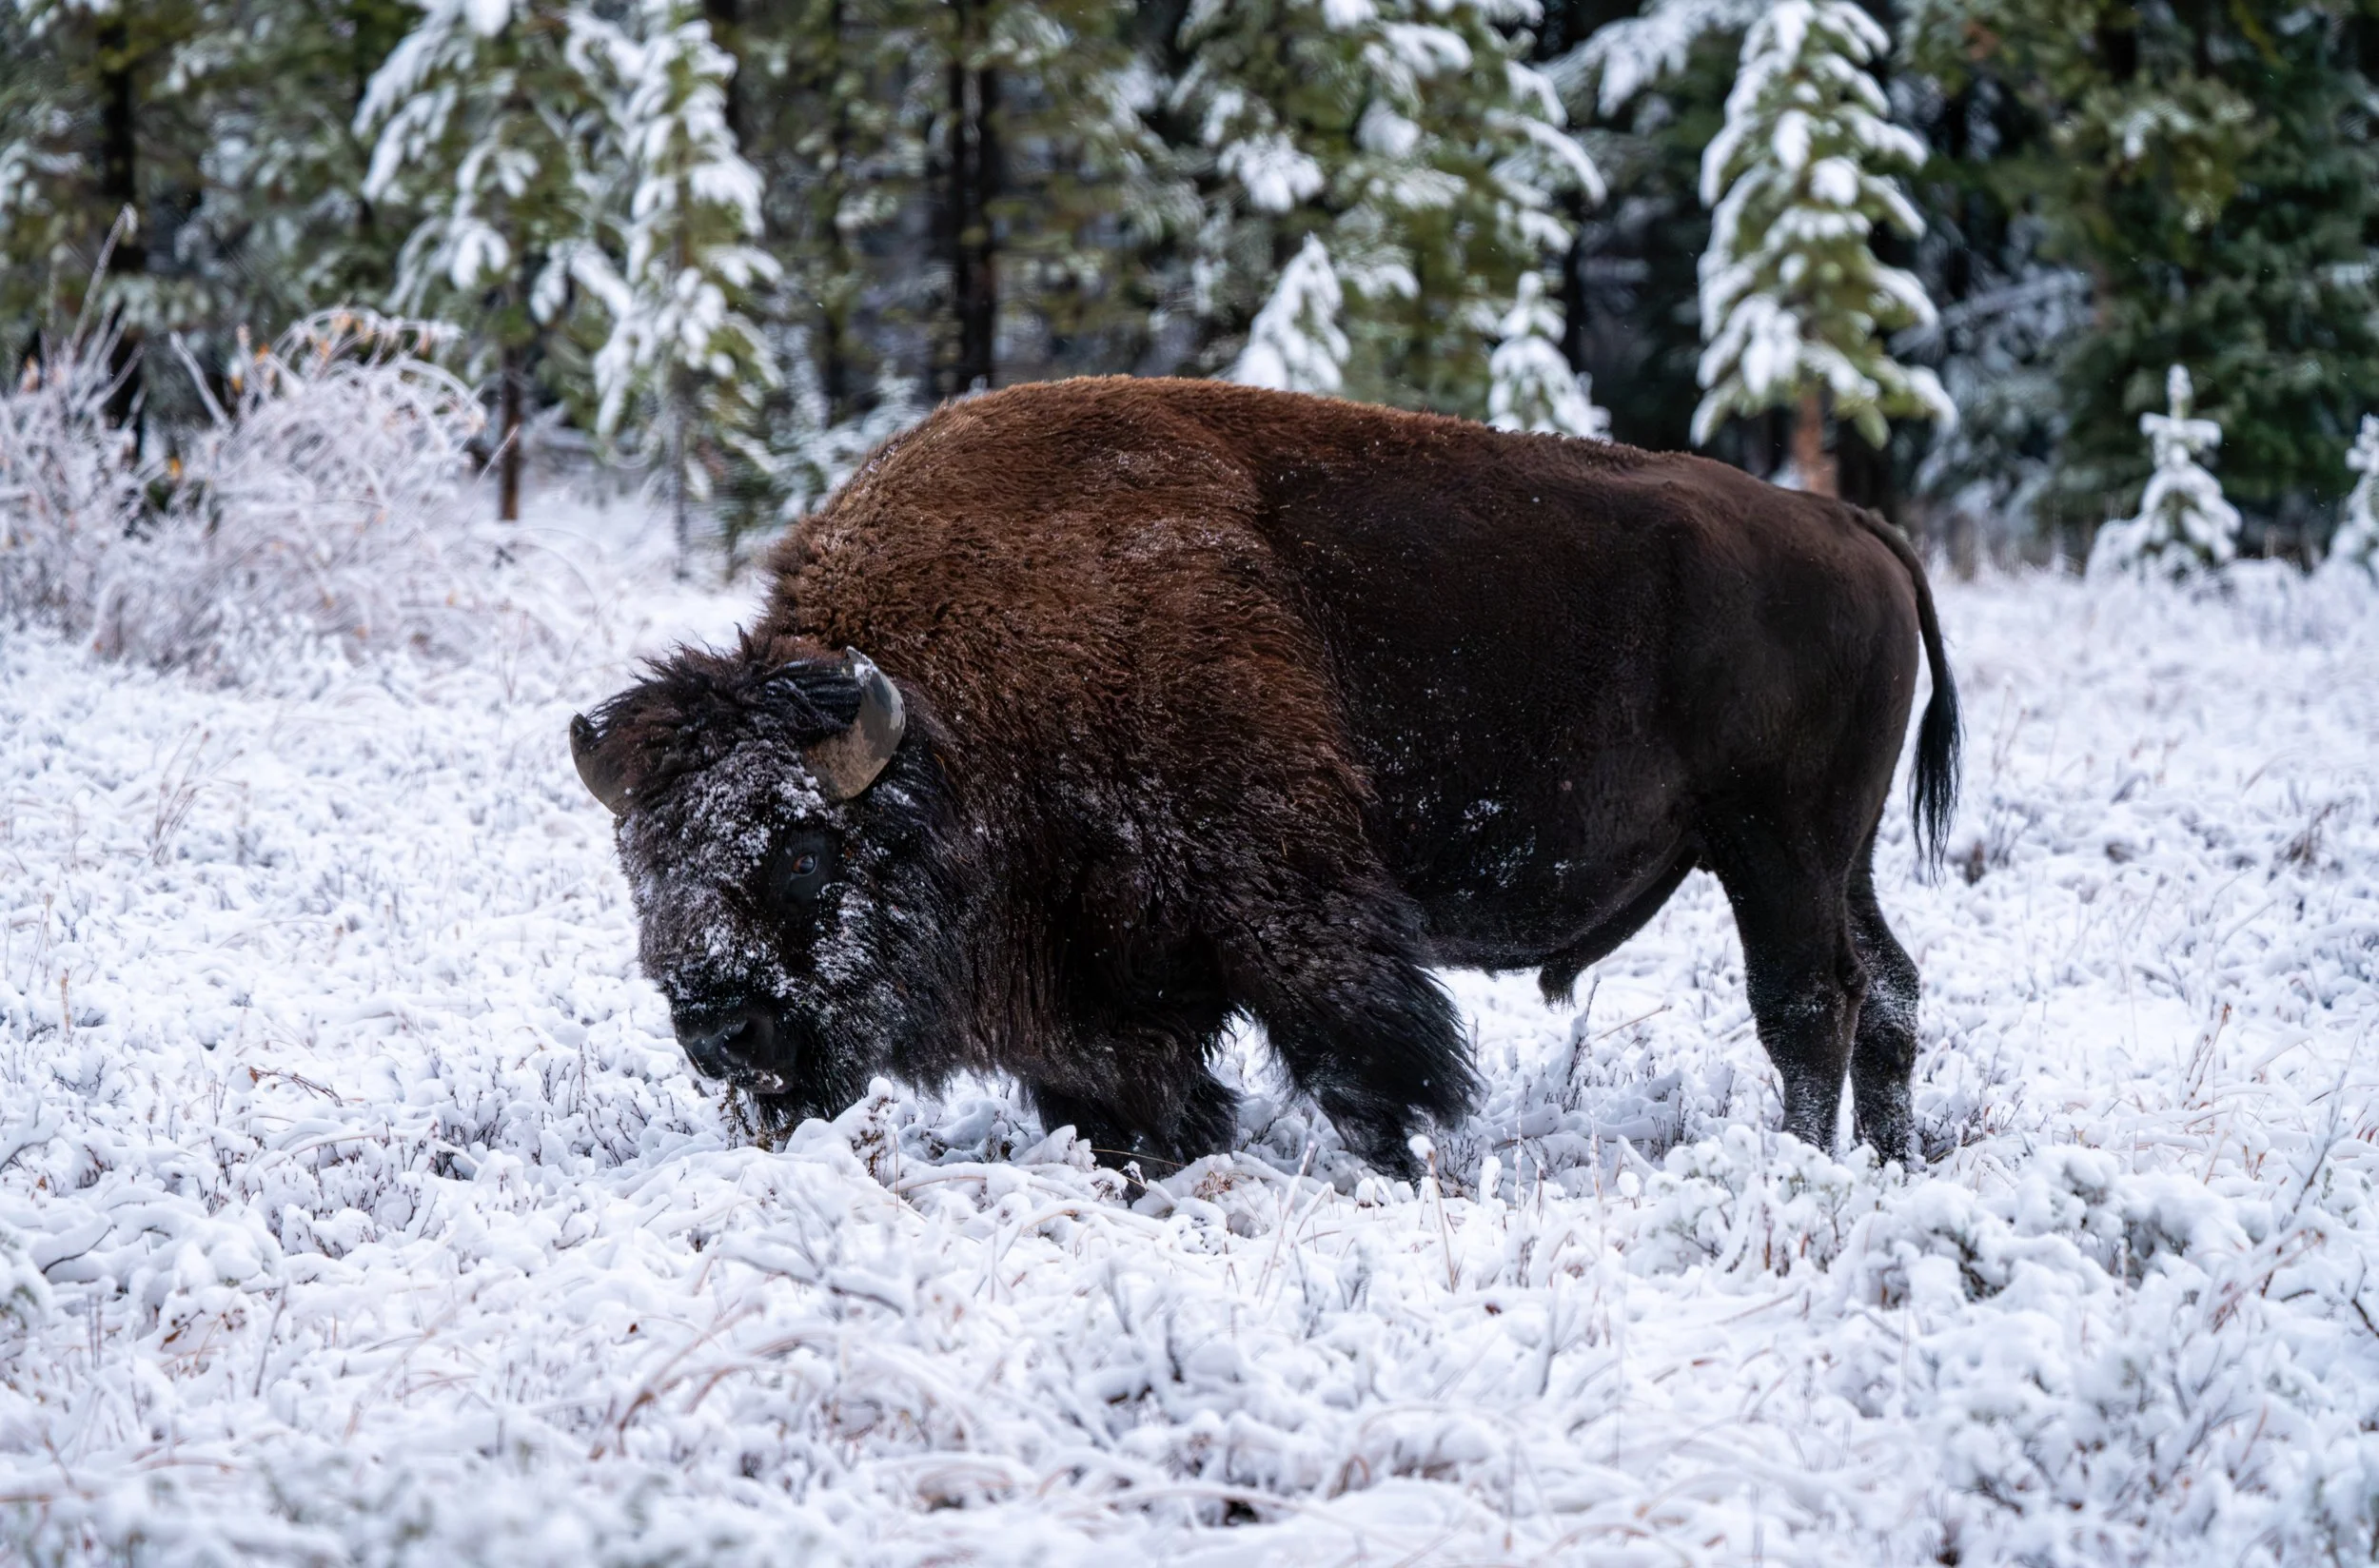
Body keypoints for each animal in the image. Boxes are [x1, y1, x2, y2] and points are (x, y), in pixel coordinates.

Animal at [570, 377, 1958, 1177]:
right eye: (642, 862)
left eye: (803, 849)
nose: (720, 1030)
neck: (948, 711)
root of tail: (1850, 527)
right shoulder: (1099, 988)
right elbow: (1121, 1093)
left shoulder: (1290, 911)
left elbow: (1362, 1065)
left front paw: (1400, 1170)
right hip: (1840, 854)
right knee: (1888, 987)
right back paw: (1891, 1166)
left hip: (1773, 847)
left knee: (1807, 1006)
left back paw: (1807, 1174)